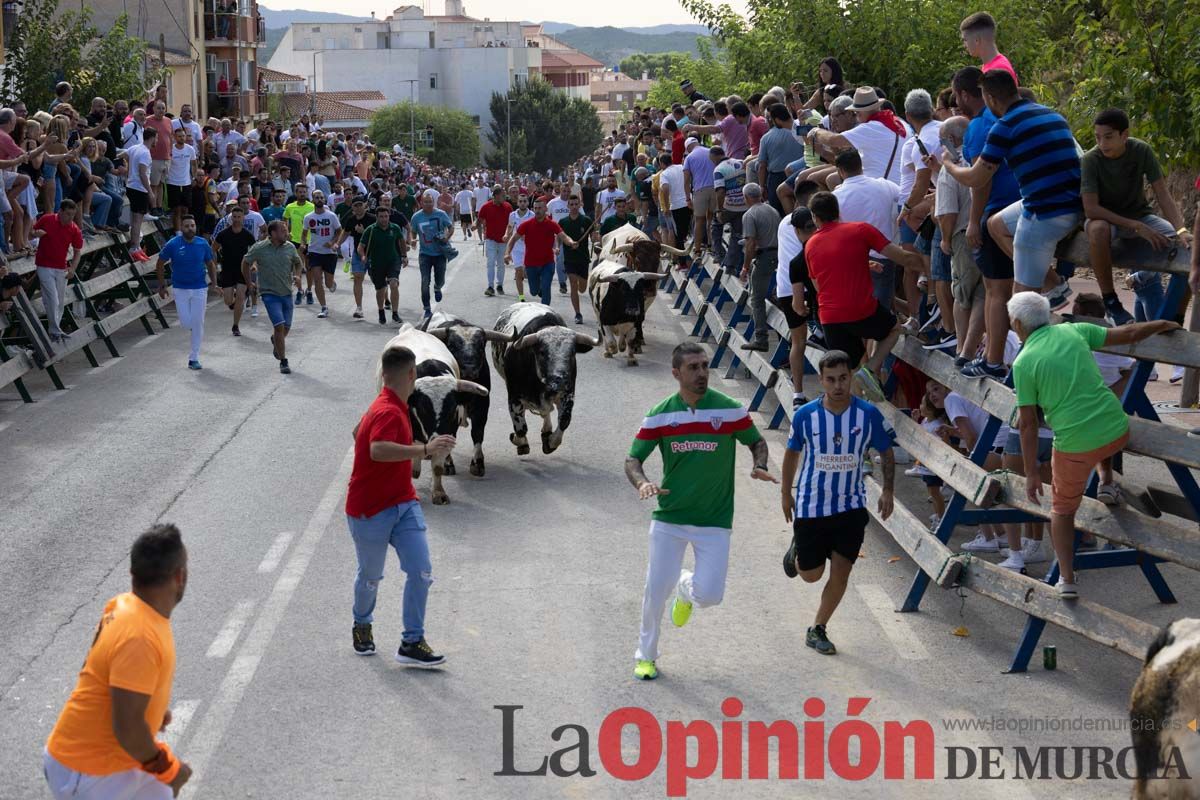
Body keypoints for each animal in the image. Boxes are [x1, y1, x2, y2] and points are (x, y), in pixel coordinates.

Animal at [374, 321, 487, 503]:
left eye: (452, 409)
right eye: (423, 408)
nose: (436, 438)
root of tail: (411, 329)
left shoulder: (448, 435)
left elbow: (437, 467)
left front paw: (439, 493)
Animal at [415, 311, 513, 474]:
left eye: (481, 346)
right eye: (452, 346)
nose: (470, 369)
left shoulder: (482, 403)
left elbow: (477, 432)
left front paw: (478, 463)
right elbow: (449, 433)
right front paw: (448, 463)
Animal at [487, 303, 600, 455]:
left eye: (572, 353)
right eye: (542, 352)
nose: (560, 380)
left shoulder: (568, 394)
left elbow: (564, 420)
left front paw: (550, 442)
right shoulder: (514, 397)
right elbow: (521, 428)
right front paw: (520, 443)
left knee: (546, 413)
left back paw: (546, 430)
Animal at [588, 220, 686, 362]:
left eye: (657, 261)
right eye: (638, 259)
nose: (649, 289)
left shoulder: (647, 300)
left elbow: (640, 319)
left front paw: (637, 342)